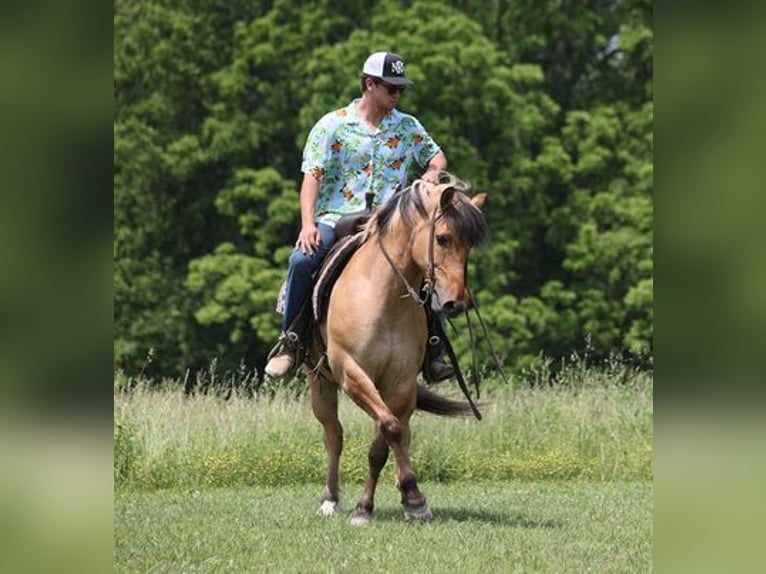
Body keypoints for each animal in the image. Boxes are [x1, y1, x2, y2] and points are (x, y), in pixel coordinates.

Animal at [304, 174, 486, 528]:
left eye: (469, 245)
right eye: (442, 238)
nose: (456, 303)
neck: (382, 295)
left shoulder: (400, 383)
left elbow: (385, 441)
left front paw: (408, 500)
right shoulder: (352, 373)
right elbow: (388, 430)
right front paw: (381, 504)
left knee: (403, 434)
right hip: (320, 383)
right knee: (333, 436)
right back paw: (330, 499)